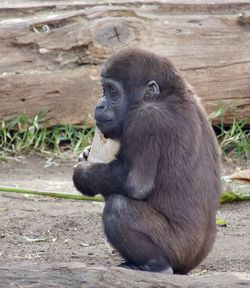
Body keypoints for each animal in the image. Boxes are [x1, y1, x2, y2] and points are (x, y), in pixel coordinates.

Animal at [73, 47, 222, 274]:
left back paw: (155, 266)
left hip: (179, 250)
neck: (167, 94)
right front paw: (86, 155)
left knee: (118, 206)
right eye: (103, 90)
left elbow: (134, 183)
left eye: (113, 92)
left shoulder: (146, 118)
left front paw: (81, 174)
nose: (100, 105)